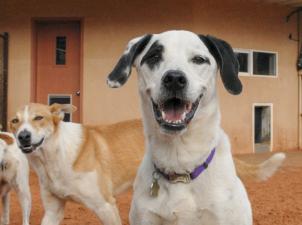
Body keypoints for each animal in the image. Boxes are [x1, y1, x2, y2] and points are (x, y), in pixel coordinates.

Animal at [8, 103, 284, 225]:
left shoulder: (105, 206)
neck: (55, 156)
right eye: (14, 121)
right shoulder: (53, 210)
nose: (22, 136)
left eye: (39, 118)